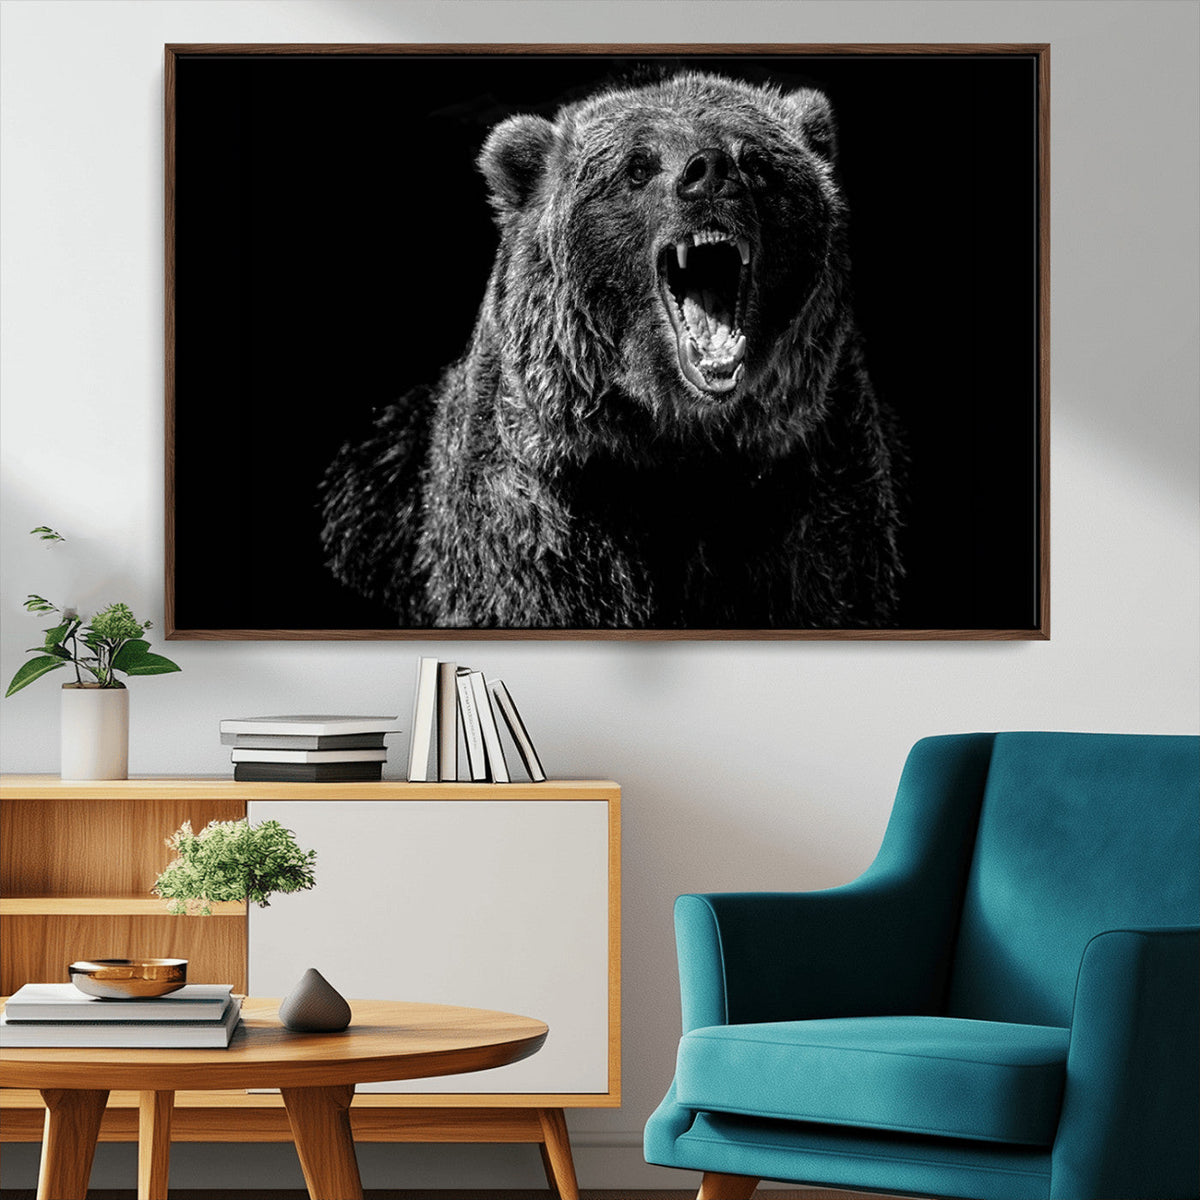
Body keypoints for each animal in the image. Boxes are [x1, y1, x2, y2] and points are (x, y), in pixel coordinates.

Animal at [320, 71, 903, 629]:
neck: (676, 439)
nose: (710, 172)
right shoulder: (547, 509)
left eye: (756, 161)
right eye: (637, 167)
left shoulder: (807, 487)